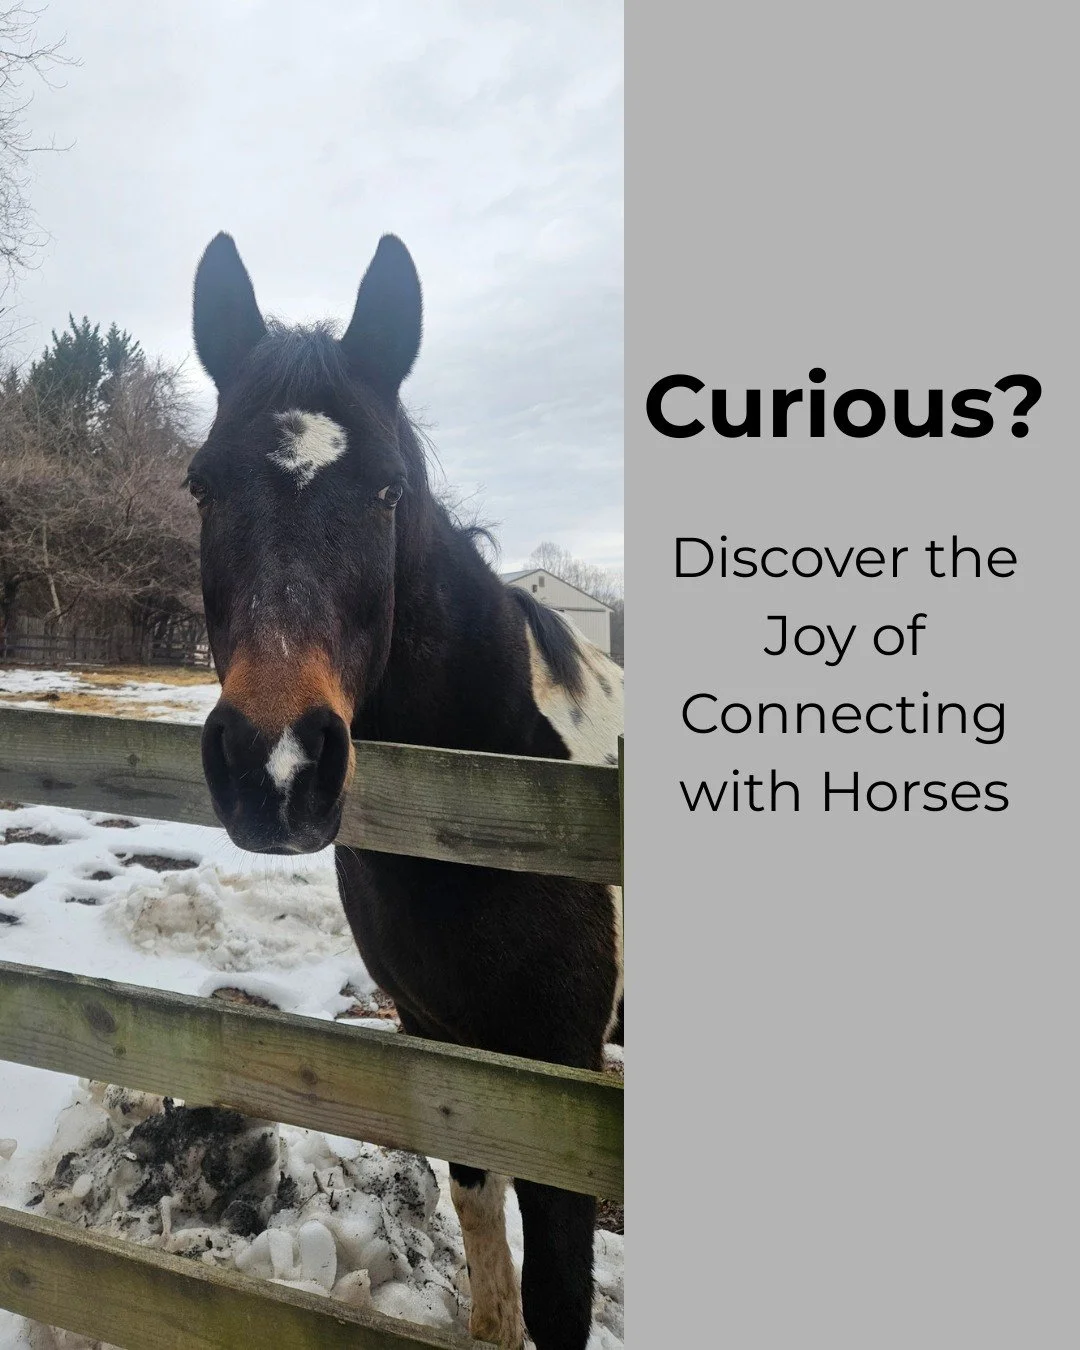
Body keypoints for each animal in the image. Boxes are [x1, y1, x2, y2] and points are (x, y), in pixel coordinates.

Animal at [188, 231, 623, 1350]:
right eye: (202, 485)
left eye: (386, 492)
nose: (276, 768)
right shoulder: (442, 1037)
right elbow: (479, 1220)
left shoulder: (561, 1078)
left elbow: (561, 1295)